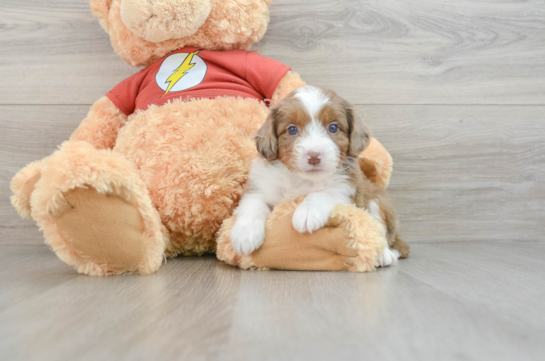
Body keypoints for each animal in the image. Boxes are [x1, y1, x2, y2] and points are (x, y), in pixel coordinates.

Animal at [230, 84, 404, 264]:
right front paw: (245, 234)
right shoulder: (261, 185)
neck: (302, 180)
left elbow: (324, 193)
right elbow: (253, 202)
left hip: (378, 201)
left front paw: (307, 212)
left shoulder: (347, 188)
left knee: (380, 228)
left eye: (333, 127)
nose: (314, 156)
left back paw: (384, 255)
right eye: (292, 130)